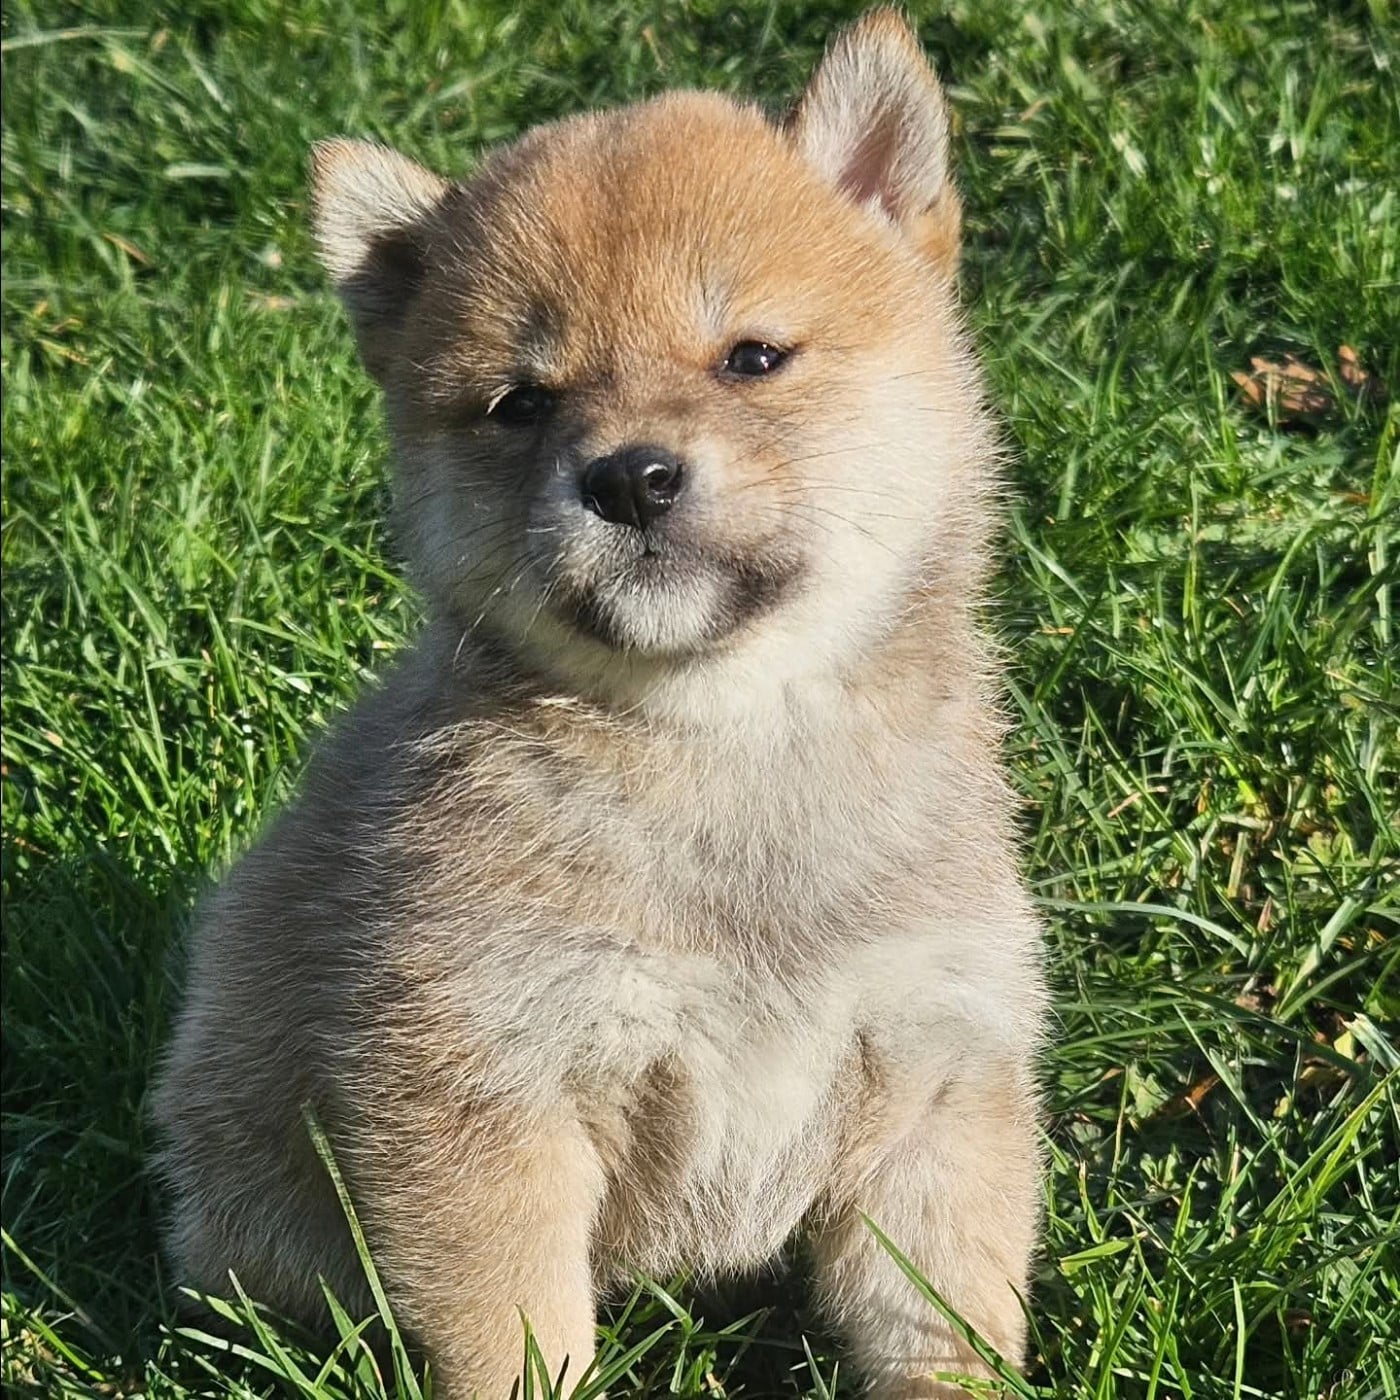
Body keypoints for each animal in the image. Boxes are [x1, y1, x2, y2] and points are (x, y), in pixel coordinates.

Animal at [152, 11, 1046, 1397]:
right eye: (521, 403)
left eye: (751, 357)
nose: (627, 475)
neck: (726, 749)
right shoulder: (481, 1085)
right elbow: (519, 1336)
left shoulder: (934, 1068)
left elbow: (936, 1326)